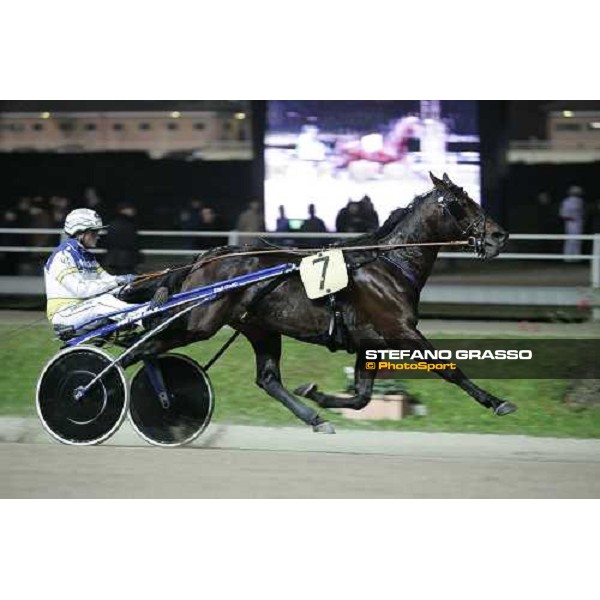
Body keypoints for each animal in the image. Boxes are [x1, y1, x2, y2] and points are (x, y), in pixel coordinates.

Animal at [122, 172, 516, 432]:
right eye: (461, 204)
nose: (499, 235)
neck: (389, 263)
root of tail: (206, 257)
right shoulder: (401, 331)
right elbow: (449, 369)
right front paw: (497, 402)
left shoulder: (370, 342)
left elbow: (362, 396)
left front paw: (318, 395)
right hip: (197, 324)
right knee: (141, 349)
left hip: (260, 328)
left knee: (267, 379)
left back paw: (315, 418)